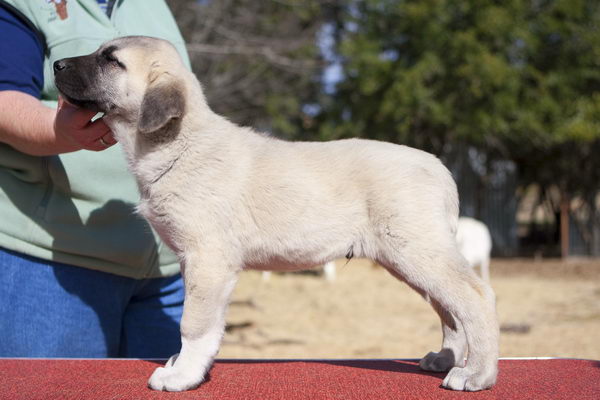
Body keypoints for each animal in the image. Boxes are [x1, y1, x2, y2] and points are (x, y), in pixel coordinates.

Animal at [55, 36, 496, 392]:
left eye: (111, 60)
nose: (56, 65)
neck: (180, 144)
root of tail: (440, 168)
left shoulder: (208, 260)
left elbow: (193, 323)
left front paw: (182, 376)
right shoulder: (199, 264)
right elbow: (208, 324)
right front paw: (188, 366)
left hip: (418, 250)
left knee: (476, 297)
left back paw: (476, 374)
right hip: (410, 258)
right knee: (449, 309)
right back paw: (446, 358)